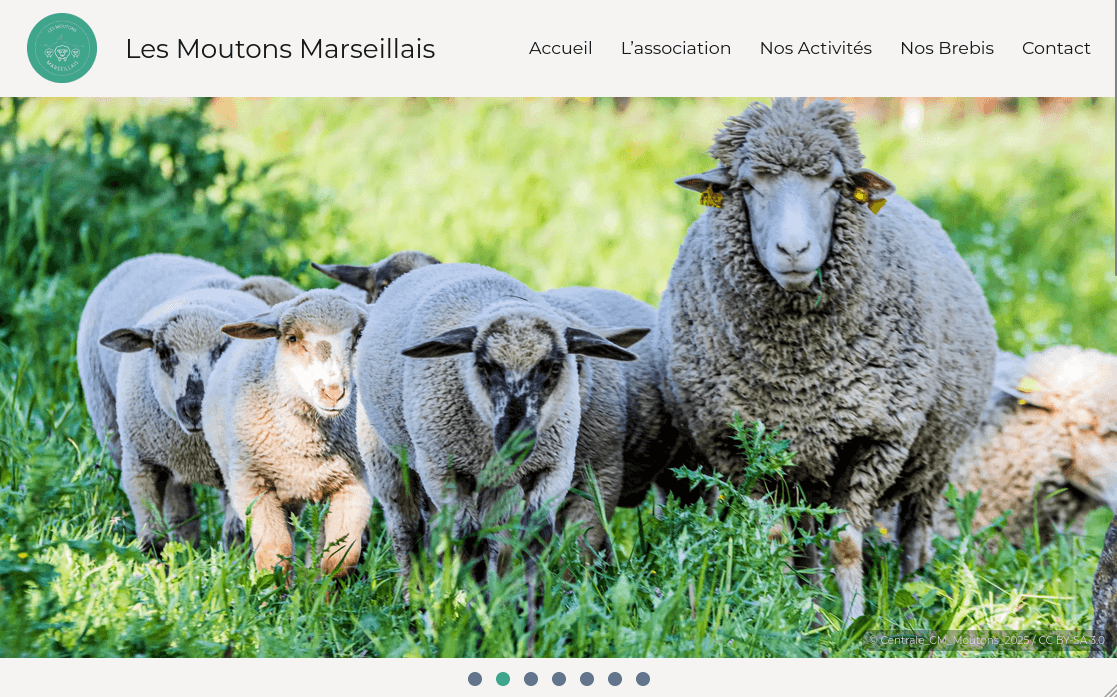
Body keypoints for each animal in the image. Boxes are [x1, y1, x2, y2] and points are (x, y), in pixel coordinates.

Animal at [98, 287, 271, 553]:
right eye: (163, 351)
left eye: (222, 350)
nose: (193, 408)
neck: (196, 447)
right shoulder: (139, 465)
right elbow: (152, 536)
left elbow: (238, 534)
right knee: (182, 516)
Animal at [203, 289, 371, 578]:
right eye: (292, 338)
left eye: (359, 335)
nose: (333, 393)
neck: (306, 445)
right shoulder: (254, 486)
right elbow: (274, 552)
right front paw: (272, 589)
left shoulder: (354, 484)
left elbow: (341, 559)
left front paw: (326, 589)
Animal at [356, 262, 647, 631]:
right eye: (484, 365)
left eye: (553, 366)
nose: (515, 440)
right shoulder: (445, 473)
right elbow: (470, 544)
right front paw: (480, 620)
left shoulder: (553, 468)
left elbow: (534, 539)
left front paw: (529, 614)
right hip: (389, 457)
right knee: (408, 532)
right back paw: (418, 604)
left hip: (498, 485)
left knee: (483, 537)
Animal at [656, 98, 997, 623]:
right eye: (747, 186)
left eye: (836, 185)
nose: (793, 251)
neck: (802, 374)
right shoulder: (739, 446)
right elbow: (774, 540)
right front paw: (781, 616)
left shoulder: (878, 439)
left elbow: (845, 544)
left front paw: (853, 623)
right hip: (804, 471)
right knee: (805, 544)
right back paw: (813, 607)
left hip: (935, 456)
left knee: (914, 528)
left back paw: (913, 587)